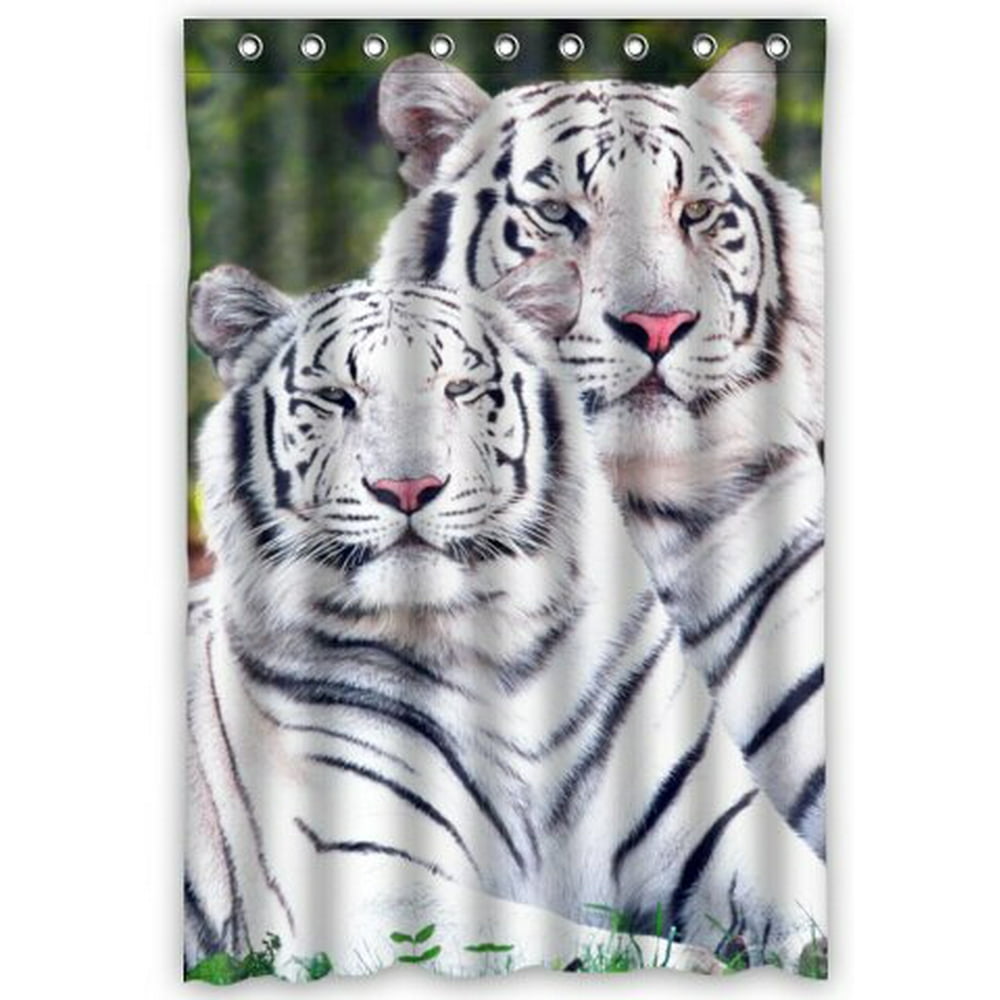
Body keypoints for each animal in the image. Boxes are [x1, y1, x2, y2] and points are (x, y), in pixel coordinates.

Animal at [184, 260, 826, 978]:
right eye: (336, 398)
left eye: (460, 389)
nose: (408, 489)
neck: (493, 650)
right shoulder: (359, 880)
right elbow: (574, 949)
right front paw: (705, 965)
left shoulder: (725, 824)